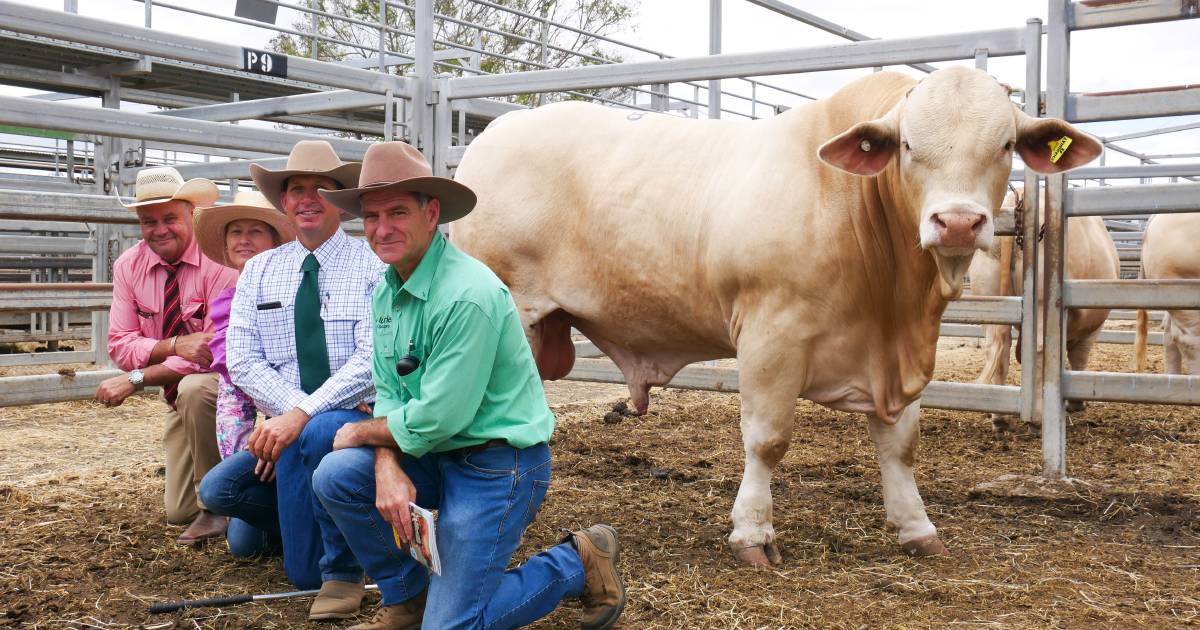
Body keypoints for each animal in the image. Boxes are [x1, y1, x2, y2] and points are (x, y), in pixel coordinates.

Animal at [448, 66, 1099, 561]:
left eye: (1005, 146)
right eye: (910, 146)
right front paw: (753, 533)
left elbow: (900, 445)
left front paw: (917, 528)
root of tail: (494, 134)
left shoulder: (901, 355)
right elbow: (767, 440)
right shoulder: (770, 335)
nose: (958, 222)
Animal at [969, 186, 1118, 427]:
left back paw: (998, 417)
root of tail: (1017, 197)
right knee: (1039, 348)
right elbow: (1079, 358)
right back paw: (1038, 418)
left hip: (987, 297)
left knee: (997, 348)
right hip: (1040, 303)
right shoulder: (1093, 327)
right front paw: (1076, 403)